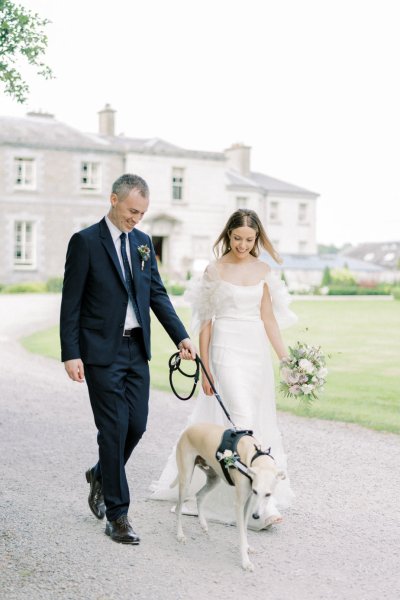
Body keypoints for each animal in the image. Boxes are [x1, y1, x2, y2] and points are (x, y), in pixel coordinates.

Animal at [173, 422, 284, 572]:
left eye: (268, 494)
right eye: (256, 491)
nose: (256, 516)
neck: (253, 455)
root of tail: (189, 429)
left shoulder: (248, 501)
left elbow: (244, 528)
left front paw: (247, 547)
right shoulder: (239, 503)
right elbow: (241, 533)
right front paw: (245, 562)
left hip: (214, 478)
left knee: (199, 495)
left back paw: (203, 524)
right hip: (186, 479)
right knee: (178, 507)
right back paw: (180, 535)